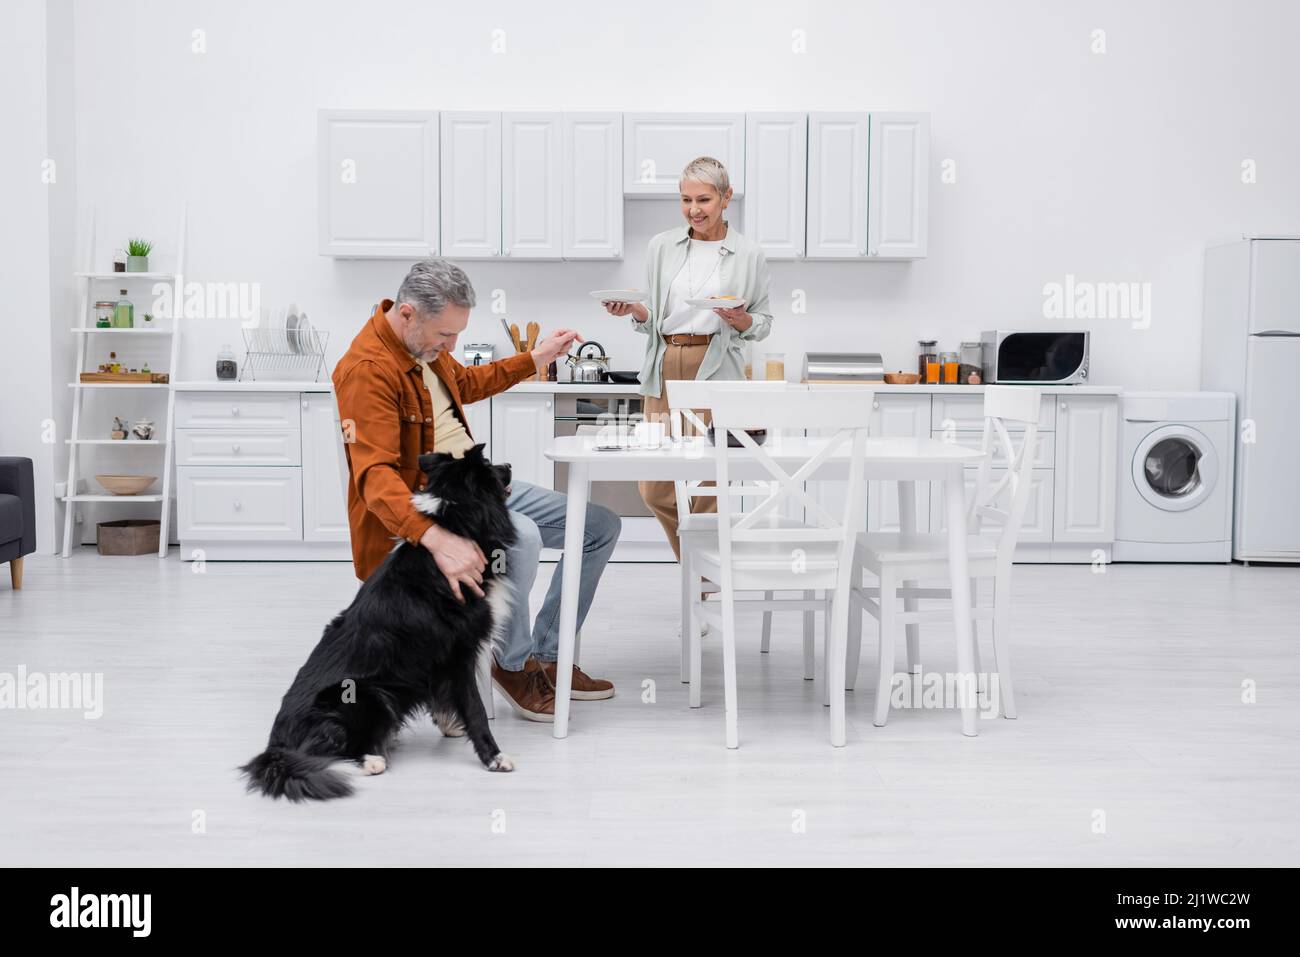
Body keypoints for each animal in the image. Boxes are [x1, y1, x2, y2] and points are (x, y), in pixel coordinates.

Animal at [241, 442, 514, 800]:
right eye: (489, 465)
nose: (509, 465)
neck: (457, 523)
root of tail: (276, 745)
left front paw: (451, 725)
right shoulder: (460, 653)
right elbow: (476, 709)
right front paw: (494, 757)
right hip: (363, 693)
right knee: (324, 753)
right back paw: (371, 760)